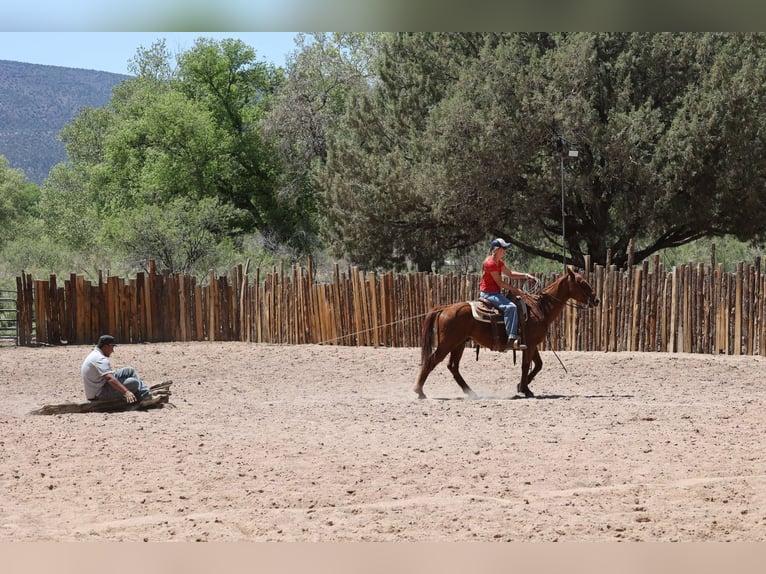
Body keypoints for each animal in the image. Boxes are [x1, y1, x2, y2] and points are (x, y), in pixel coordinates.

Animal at [413, 267, 600, 399]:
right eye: (582, 283)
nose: (596, 300)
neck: (540, 308)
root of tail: (445, 308)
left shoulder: (531, 344)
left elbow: (538, 365)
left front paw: (523, 386)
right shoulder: (530, 344)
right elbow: (526, 365)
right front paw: (524, 389)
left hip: (459, 343)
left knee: (453, 366)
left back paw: (471, 392)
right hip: (448, 343)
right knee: (431, 361)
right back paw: (419, 391)